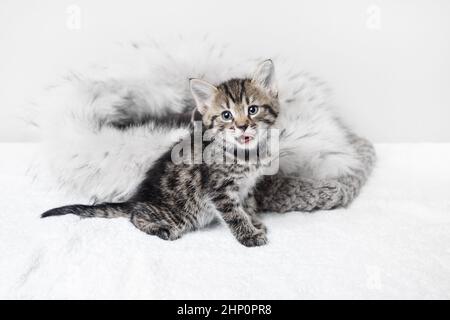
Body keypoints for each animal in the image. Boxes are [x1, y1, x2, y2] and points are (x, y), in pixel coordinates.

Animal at [43, 60, 282, 246]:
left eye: (252, 109)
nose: (242, 126)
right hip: (180, 213)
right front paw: (249, 235)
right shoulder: (218, 190)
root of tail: (137, 199)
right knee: (135, 217)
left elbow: (247, 206)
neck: (247, 154)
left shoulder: (246, 187)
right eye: (226, 115)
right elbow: (234, 214)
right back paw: (161, 229)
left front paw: (255, 223)